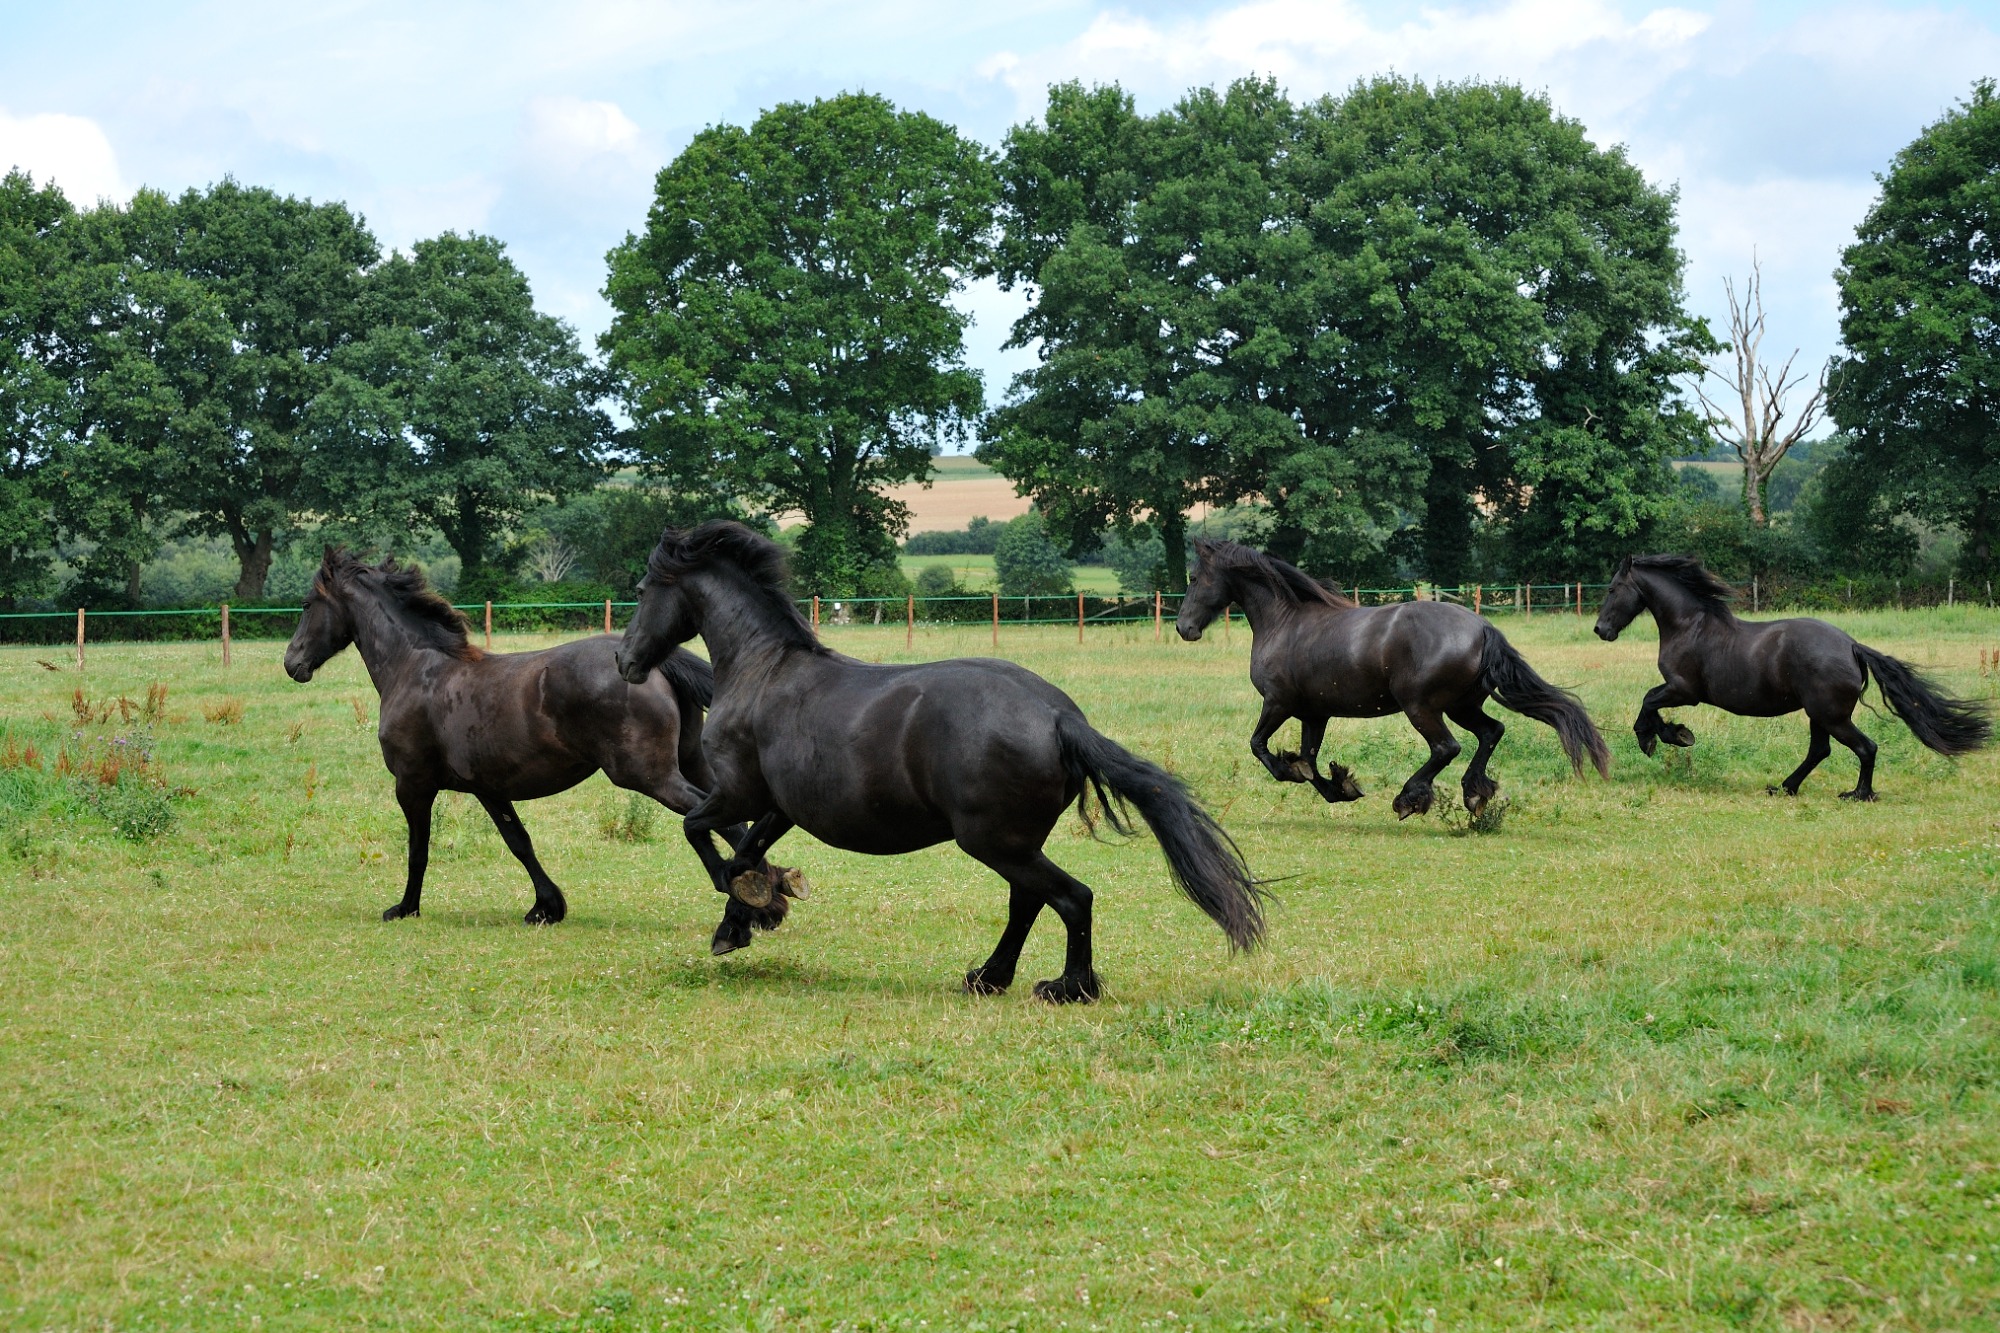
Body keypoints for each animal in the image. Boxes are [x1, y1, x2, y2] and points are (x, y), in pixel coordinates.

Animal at [282, 548, 802, 952]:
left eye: (308, 603)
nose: (292, 663)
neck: (415, 670)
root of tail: (651, 661)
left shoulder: (412, 785)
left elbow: (418, 848)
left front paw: (406, 908)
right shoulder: (488, 788)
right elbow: (519, 842)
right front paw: (546, 907)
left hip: (648, 774)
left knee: (709, 818)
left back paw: (756, 903)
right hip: (691, 762)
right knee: (733, 818)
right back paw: (769, 894)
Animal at [611, 520, 1265, 1003]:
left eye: (641, 591)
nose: (624, 661)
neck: (761, 668)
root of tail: (1059, 717)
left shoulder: (738, 791)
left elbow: (703, 834)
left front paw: (745, 913)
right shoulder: (781, 805)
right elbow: (748, 851)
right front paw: (754, 910)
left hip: (992, 840)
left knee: (1071, 898)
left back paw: (1066, 987)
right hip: (1014, 842)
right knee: (1029, 901)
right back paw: (988, 977)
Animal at [1176, 540, 1609, 818]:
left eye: (1194, 578)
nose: (1184, 628)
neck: (1285, 622)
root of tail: (1483, 627)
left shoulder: (1278, 703)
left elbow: (1260, 746)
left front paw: (1295, 772)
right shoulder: (1314, 713)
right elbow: (1310, 757)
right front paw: (1341, 787)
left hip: (1420, 706)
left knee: (1446, 747)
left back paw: (1409, 799)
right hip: (1462, 705)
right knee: (1491, 731)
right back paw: (1474, 794)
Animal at [1593, 554, 1992, 799]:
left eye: (1612, 589)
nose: (1600, 630)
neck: (1690, 624)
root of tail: (1852, 646)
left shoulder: (1684, 690)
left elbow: (1648, 701)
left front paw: (1662, 737)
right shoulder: (1679, 690)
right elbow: (1650, 701)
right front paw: (1671, 734)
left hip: (1831, 715)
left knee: (1865, 747)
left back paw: (1857, 795)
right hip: (1819, 715)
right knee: (1820, 750)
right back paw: (1785, 787)